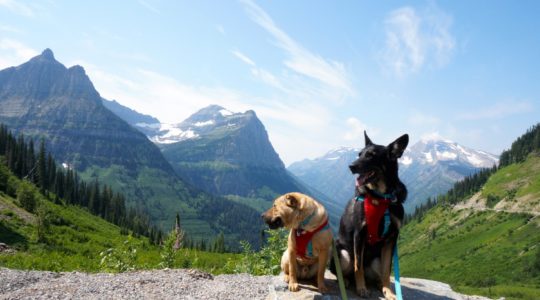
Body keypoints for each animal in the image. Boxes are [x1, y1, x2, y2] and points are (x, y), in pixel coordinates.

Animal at [332, 132, 408, 300]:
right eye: (359, 154)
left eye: (371, 156)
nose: (351, 166)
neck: (381, 197)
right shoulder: (359, 234)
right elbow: (357, 266)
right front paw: (361, 289)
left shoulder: (391, 238)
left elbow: (387, 270)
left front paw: (388, 291)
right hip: (342, 253)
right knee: (345, 272)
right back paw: (347, 281)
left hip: (376, 260)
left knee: (378, 274)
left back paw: (379, 284)